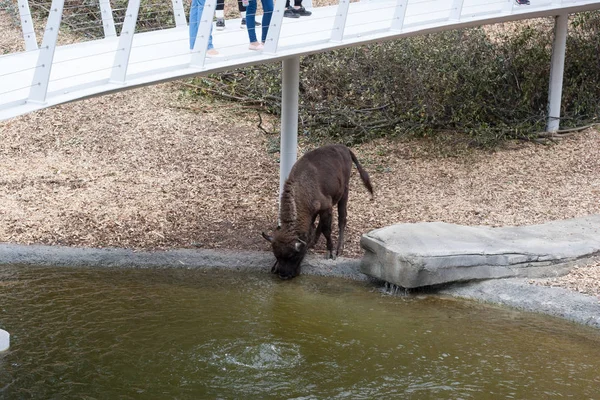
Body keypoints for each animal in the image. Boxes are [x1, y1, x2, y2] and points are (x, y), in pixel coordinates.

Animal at [262, 144, 372, 278]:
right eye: (276, 255)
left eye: (293, 256)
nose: (283, 275)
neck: (302, 188)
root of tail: (344, 148)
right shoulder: (313, 212)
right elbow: (314, 227)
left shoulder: (326, 207)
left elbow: (327, 230)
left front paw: (330, 252)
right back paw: (314, 242)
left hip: (344, 191)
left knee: (342, 218)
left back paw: (339, 249)